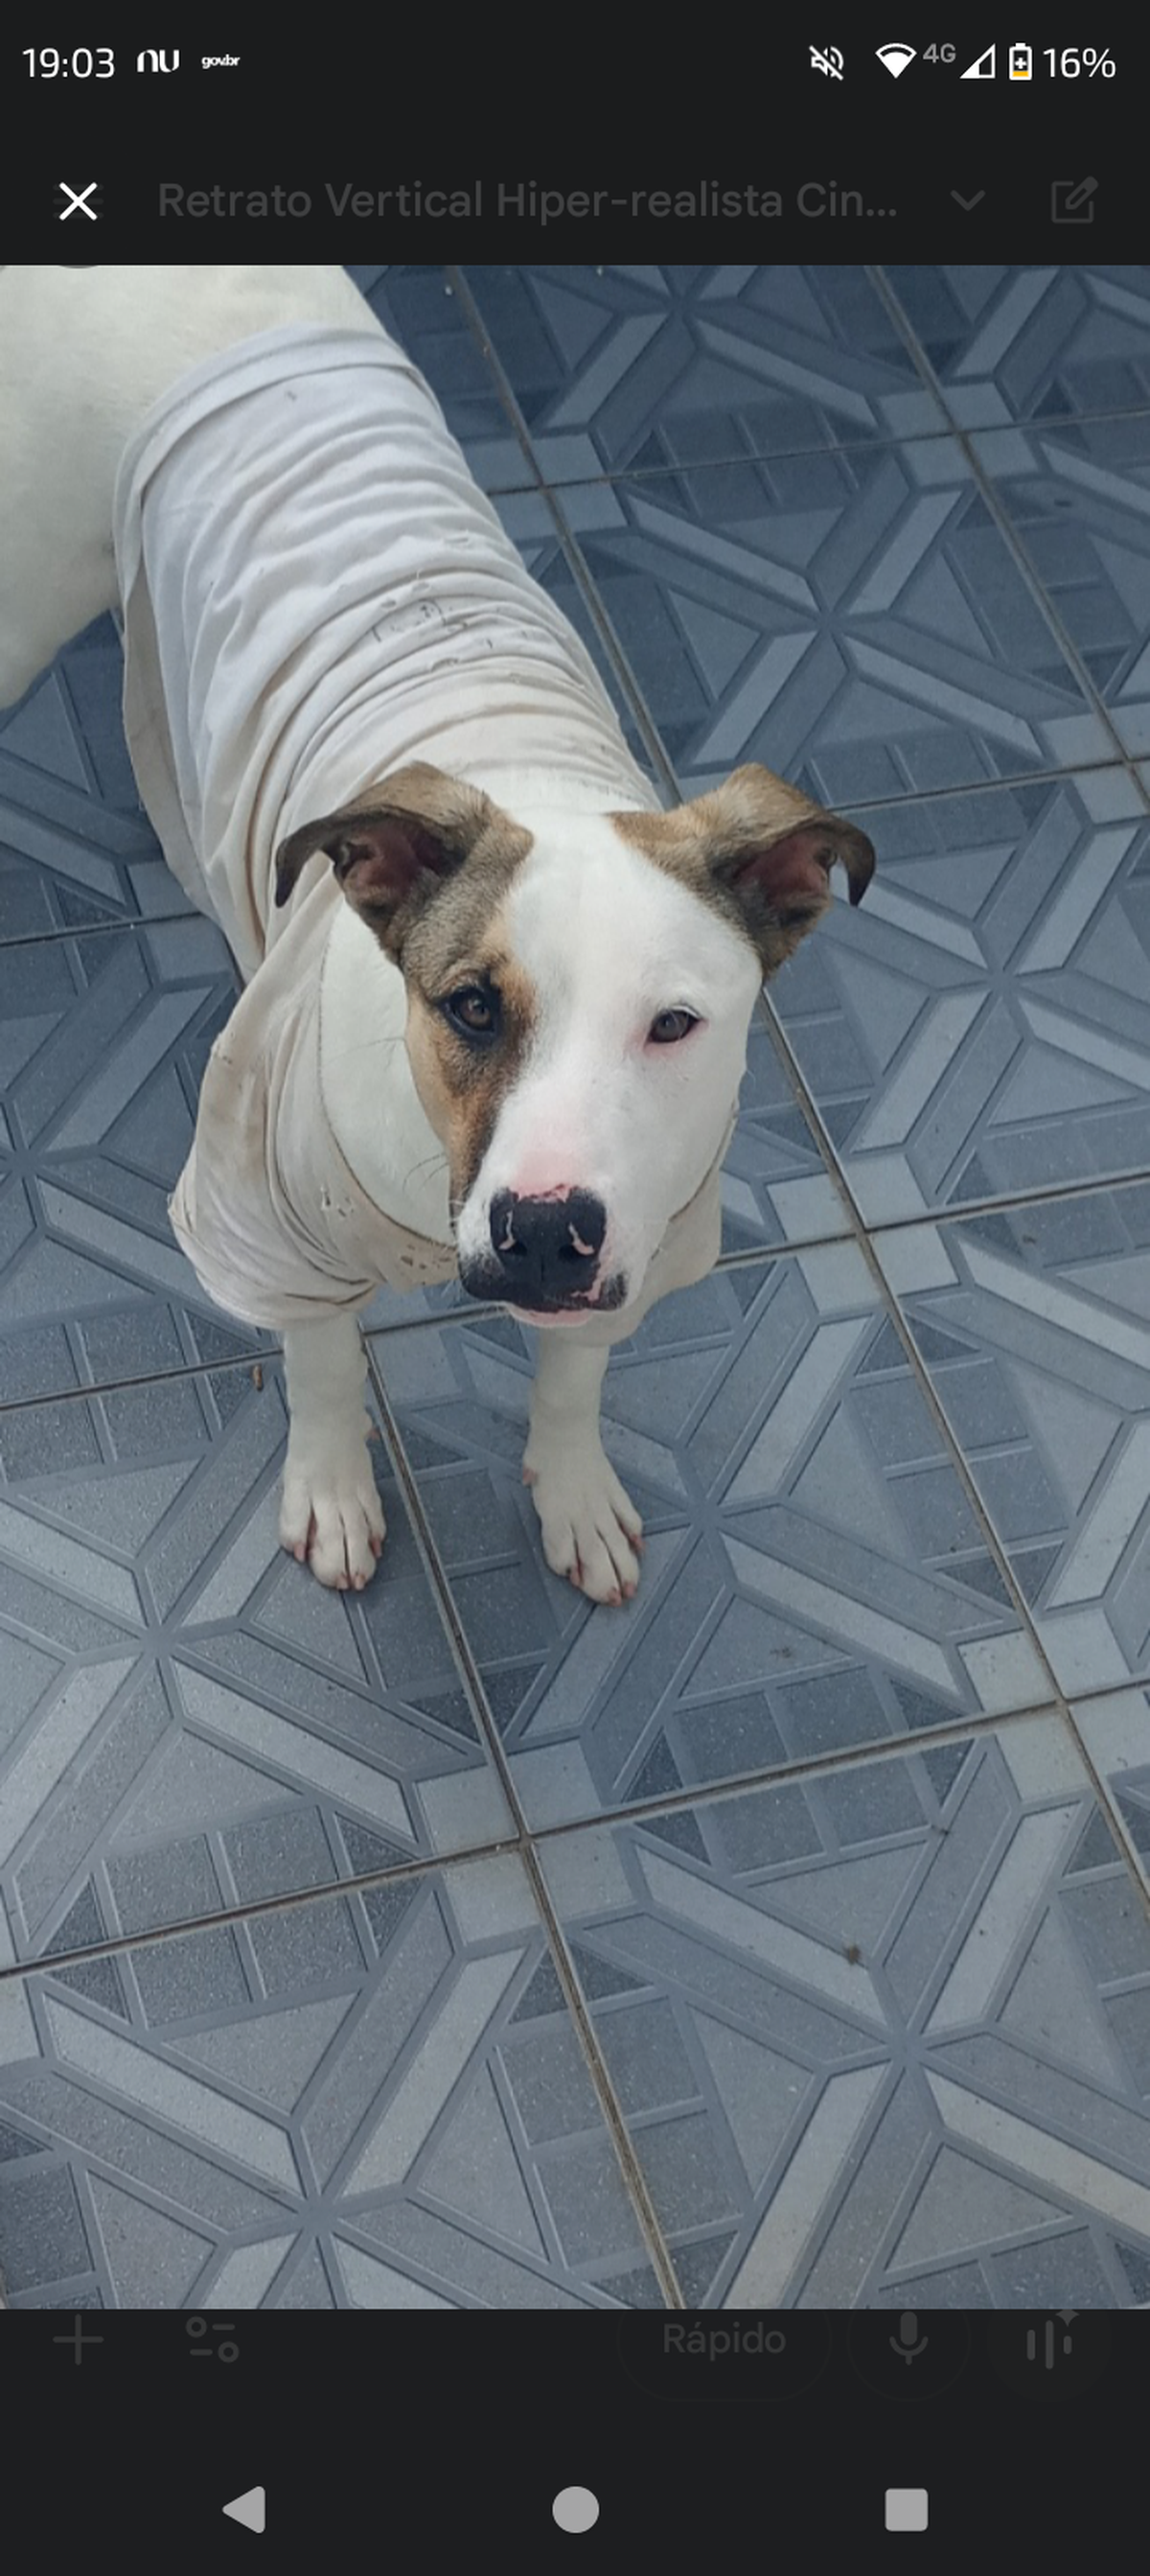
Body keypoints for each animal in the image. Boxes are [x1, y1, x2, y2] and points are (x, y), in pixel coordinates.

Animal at [0, 265, 873, 1606]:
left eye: (675, 1023)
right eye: (471, 1004)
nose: (545, 1231)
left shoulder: (645, 1245)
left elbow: (573, 1379)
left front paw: (573, 1494)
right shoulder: (264, 1230)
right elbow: (322, 1366)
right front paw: (332, 1490)